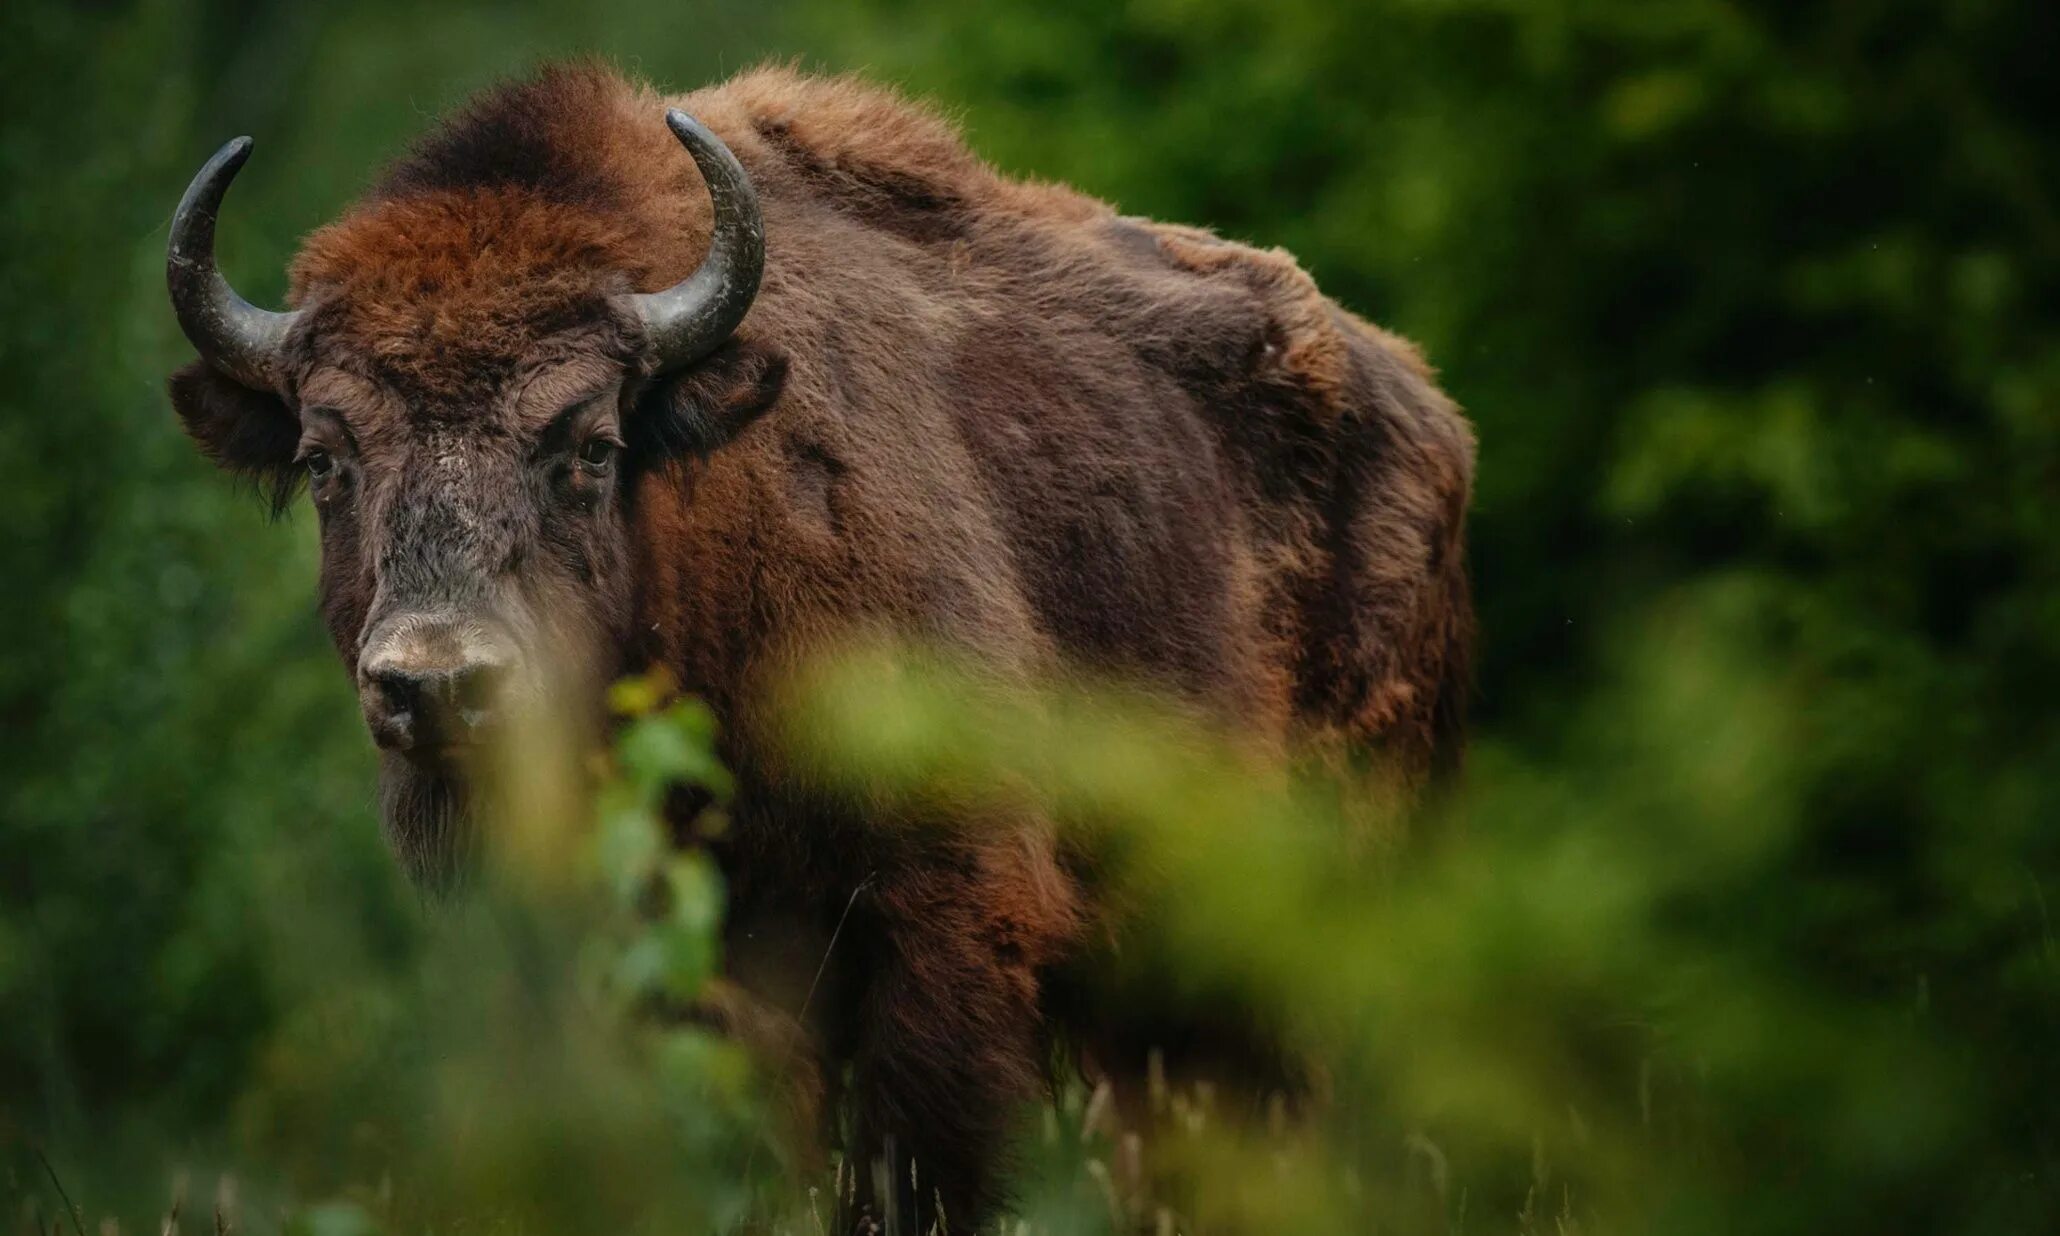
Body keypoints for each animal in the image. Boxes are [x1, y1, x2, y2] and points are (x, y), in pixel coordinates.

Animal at [168, 60, 1474, 1236]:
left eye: (589, 444)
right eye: (326, 459)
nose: (437, 684)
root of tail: (1427, 409)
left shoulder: (945, 920)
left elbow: (914, 1168)